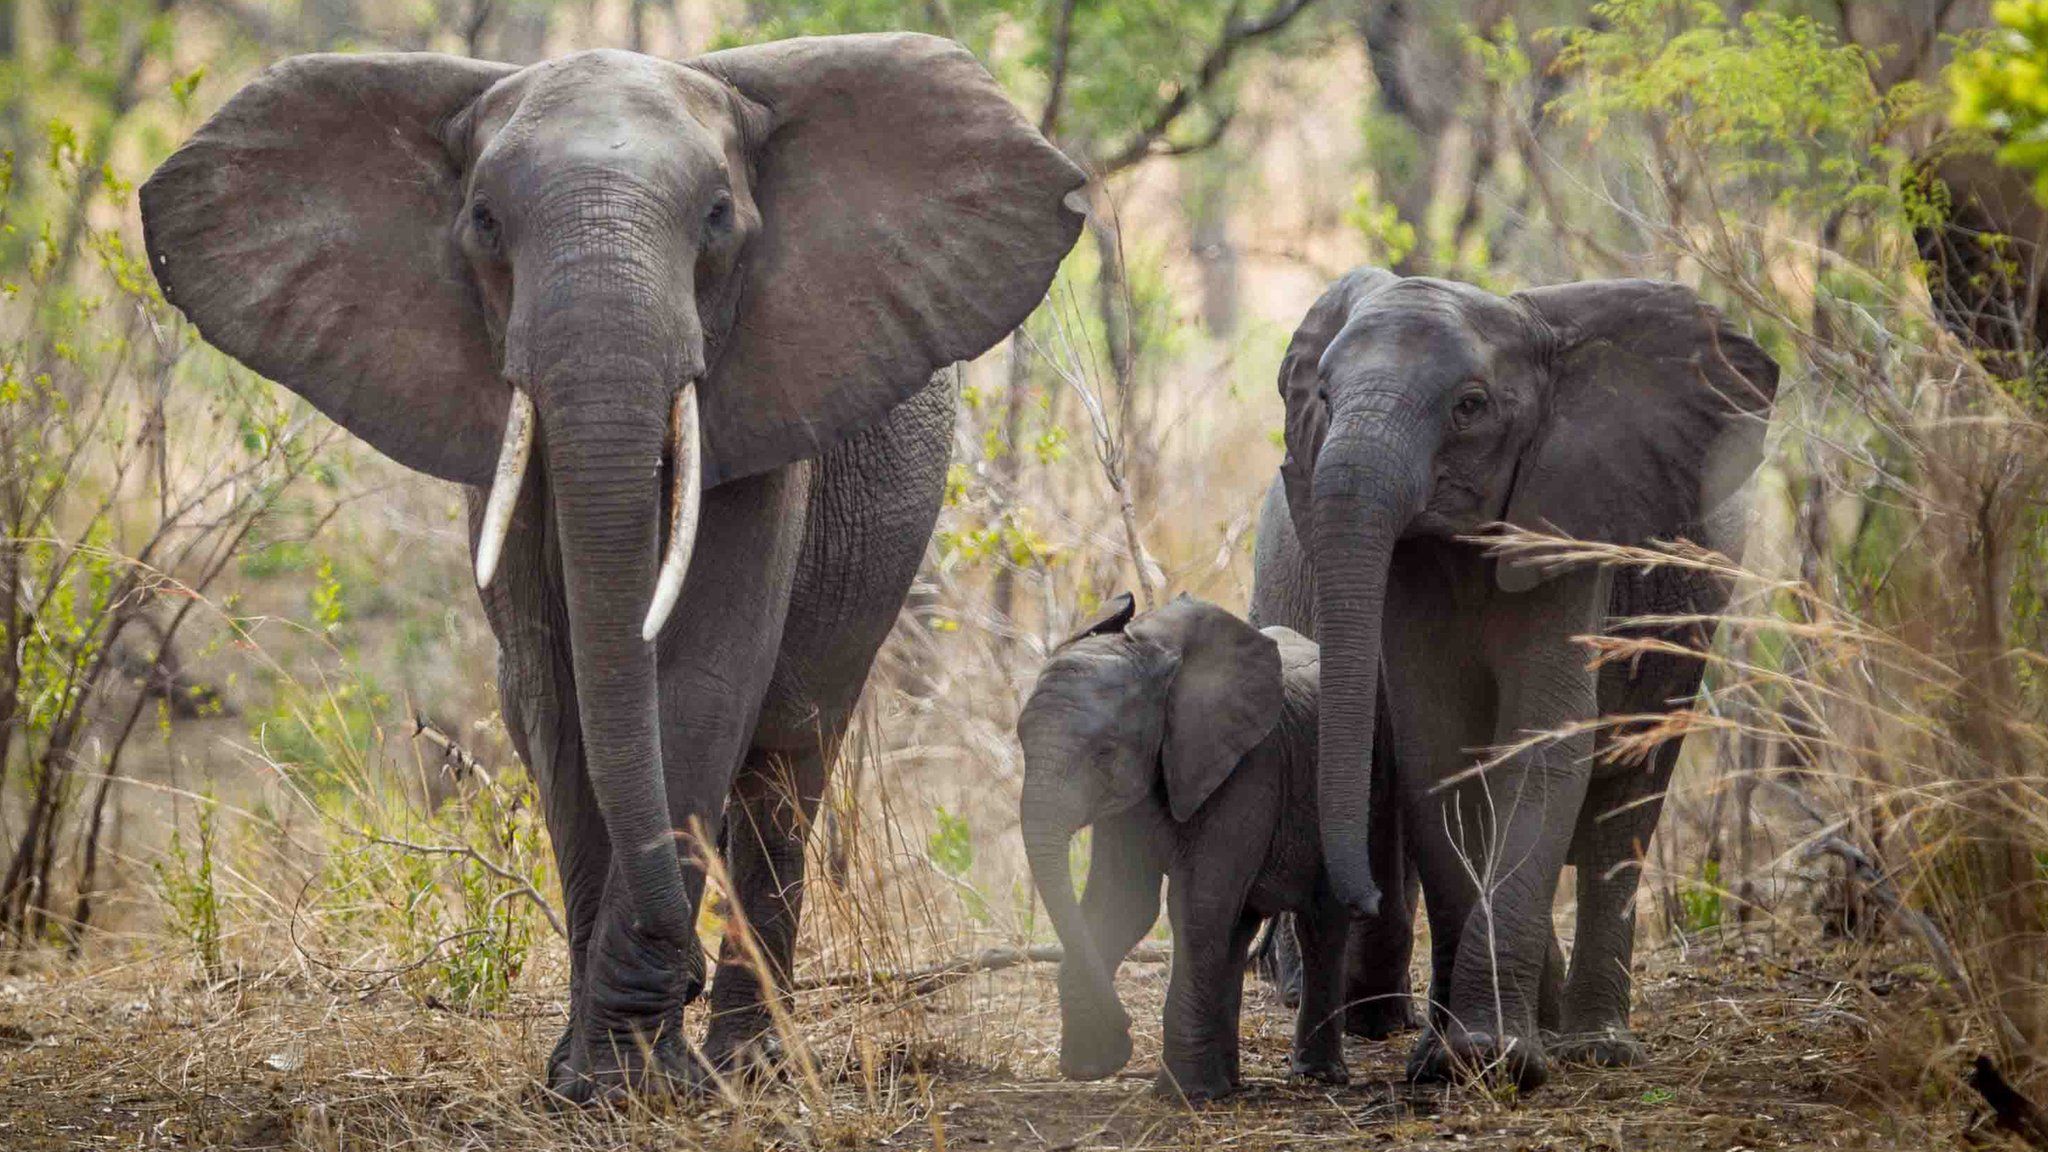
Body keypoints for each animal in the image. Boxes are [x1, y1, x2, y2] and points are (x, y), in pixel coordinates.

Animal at [144, 35, 1089, 1090]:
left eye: (717, 217)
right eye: (484, 220)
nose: (675, 969)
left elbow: (704, 680)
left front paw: (633, 1079)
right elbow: (553, 698)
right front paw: (592, 1077)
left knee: (790, 760)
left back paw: (752, 1065)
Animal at [1019, 590, 1343, 1090]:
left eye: (1105, 752)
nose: (1126, 1029)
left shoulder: (1251, 764)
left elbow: (1195, 903)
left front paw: (1178, 1094)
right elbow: (1125, 903)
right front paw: (1093, 1066)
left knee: (1321, 919)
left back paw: (1315, 1076)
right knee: (1238, 925)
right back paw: (1227, 1085)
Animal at [1245, 268, 1777, 1082]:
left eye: (1470, 406)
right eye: (1323, 398)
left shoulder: (1573, 518)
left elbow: (1543, 739)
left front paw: (1493, 1057)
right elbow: (1441, 752)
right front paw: (1449, 1061)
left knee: (1628, 794)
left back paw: (1595, 1046)